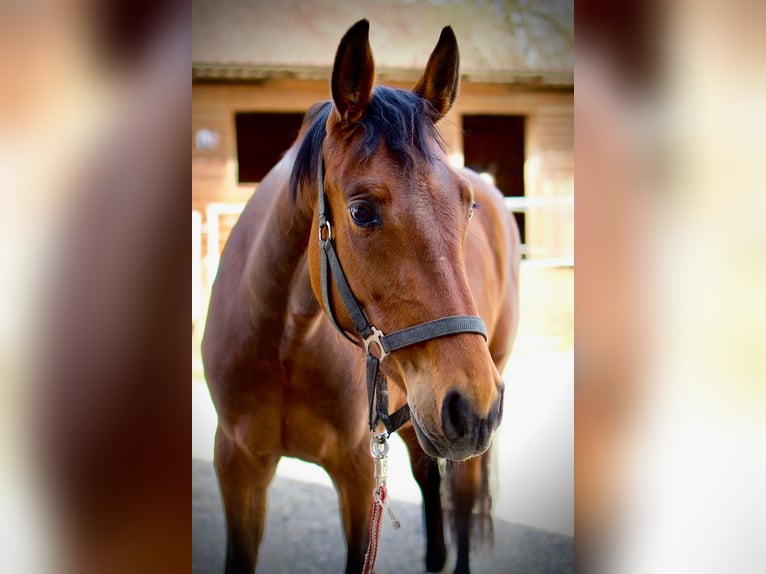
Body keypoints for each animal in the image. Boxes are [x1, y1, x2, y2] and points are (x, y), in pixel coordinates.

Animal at [202, 19, 520, 574]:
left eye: (467, 206)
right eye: (361, 212)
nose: (474, 403)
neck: (285, 344)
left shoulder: (356, 473)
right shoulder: (237, 463)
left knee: (461, 496)